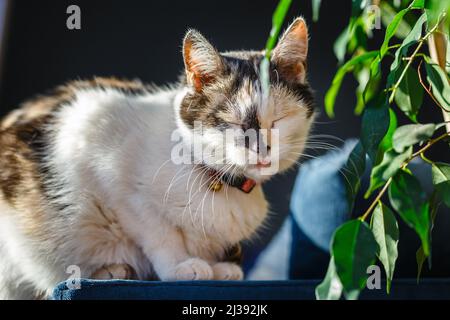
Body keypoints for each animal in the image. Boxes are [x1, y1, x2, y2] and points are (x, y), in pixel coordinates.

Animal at [0, 16, 314, 298]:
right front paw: (181, 266)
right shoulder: (98, 143)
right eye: (232, 123)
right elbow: (158, 231)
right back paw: (111, 270)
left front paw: (219, 267)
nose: (262, 149)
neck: (215, 179)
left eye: (278, 120)